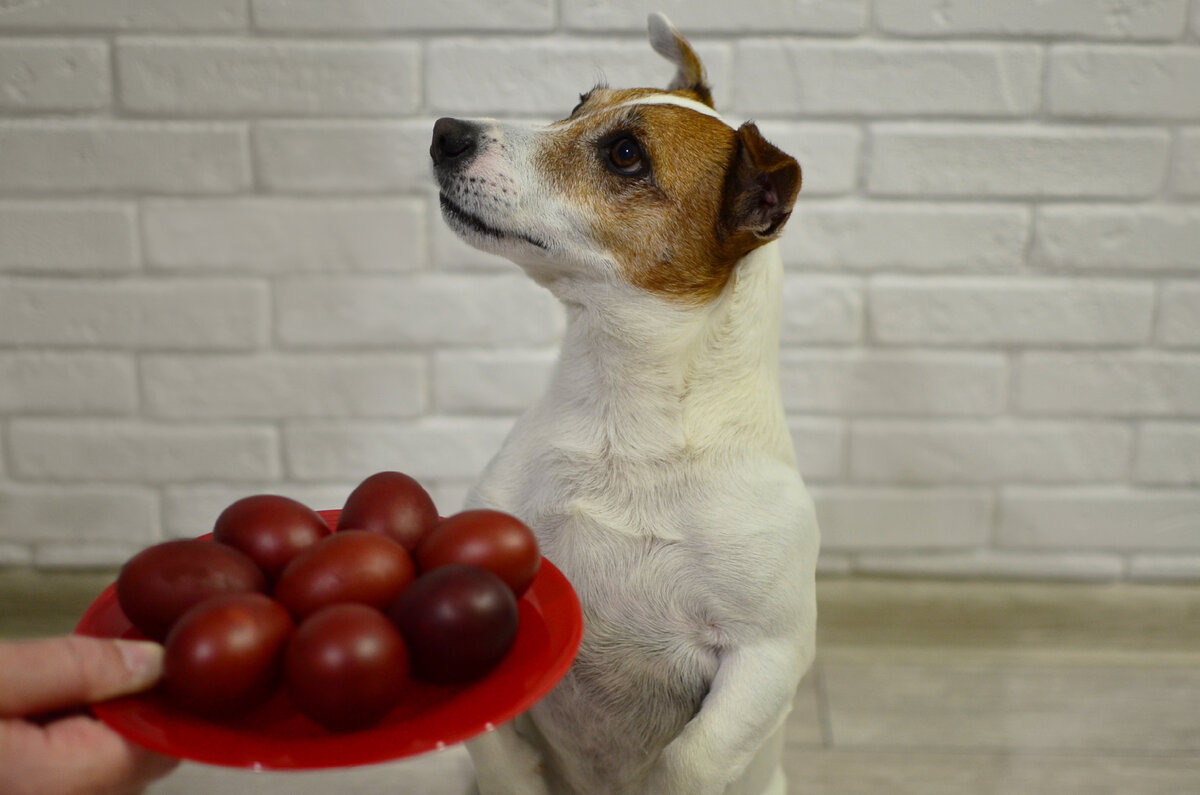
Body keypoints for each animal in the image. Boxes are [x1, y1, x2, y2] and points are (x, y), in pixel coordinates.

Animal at [429, 14, 816, 795]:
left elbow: (693, 757)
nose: (445, 132)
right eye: (579, 103)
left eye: (627, 155)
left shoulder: (769, 653)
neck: (623, 420)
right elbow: (497, 745)